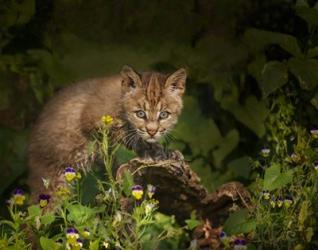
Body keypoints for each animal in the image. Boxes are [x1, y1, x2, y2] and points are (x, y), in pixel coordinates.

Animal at [28, 66, 186, 203]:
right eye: (140, 114)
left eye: (164, 115)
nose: (152, 131)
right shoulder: (91, 121)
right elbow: (128, 134)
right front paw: (152, 152)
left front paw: (166, 152)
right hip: (54, 183)